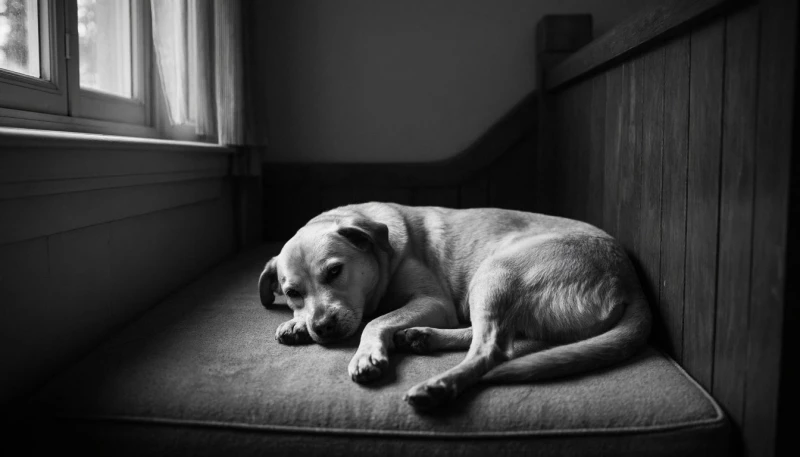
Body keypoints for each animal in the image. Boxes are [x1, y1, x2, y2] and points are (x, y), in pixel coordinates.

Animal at [259, 202, 651, 410]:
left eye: (334, 271)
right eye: (292, 292)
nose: (322, 328)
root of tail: (630, 279)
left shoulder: (432, 301)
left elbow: (375, 321)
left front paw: (367, 353)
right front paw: (296, 324)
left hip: (494, 272)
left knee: (492, 349)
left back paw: (439, 385)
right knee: (502, 338)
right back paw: (423, 337)